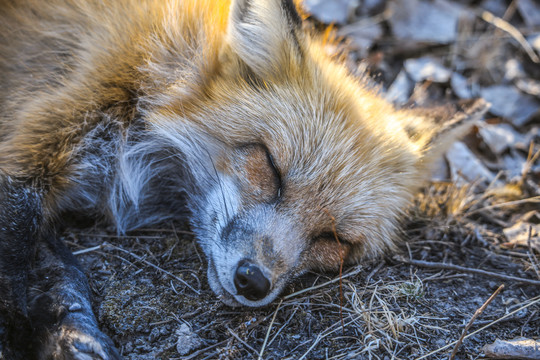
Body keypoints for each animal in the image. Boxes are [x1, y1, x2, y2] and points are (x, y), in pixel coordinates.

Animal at [0, 0, 490, 358]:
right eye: (271, 167)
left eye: (334, 239)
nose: (253, 281)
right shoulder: (39, 133)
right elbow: (19, 255)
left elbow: (54, 271)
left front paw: (70, 334)